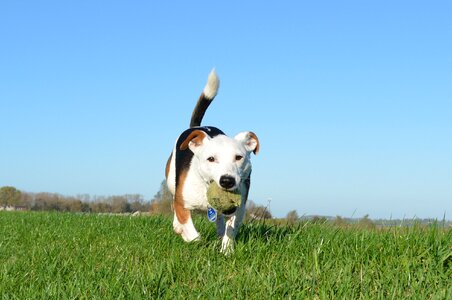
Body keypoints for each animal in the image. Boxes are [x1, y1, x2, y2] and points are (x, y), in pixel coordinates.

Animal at [165, 69, 258, 252]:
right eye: (211, 159)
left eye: (239, 157)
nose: (227, 180)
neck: (206, 185)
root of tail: (196, 127)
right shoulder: (182, 203)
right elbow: (193, 234)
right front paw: (192, 239)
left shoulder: (239, 207)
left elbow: (231, 228)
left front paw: (226, 250)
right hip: (171, 181)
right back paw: (178, 227)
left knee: (221, 220)